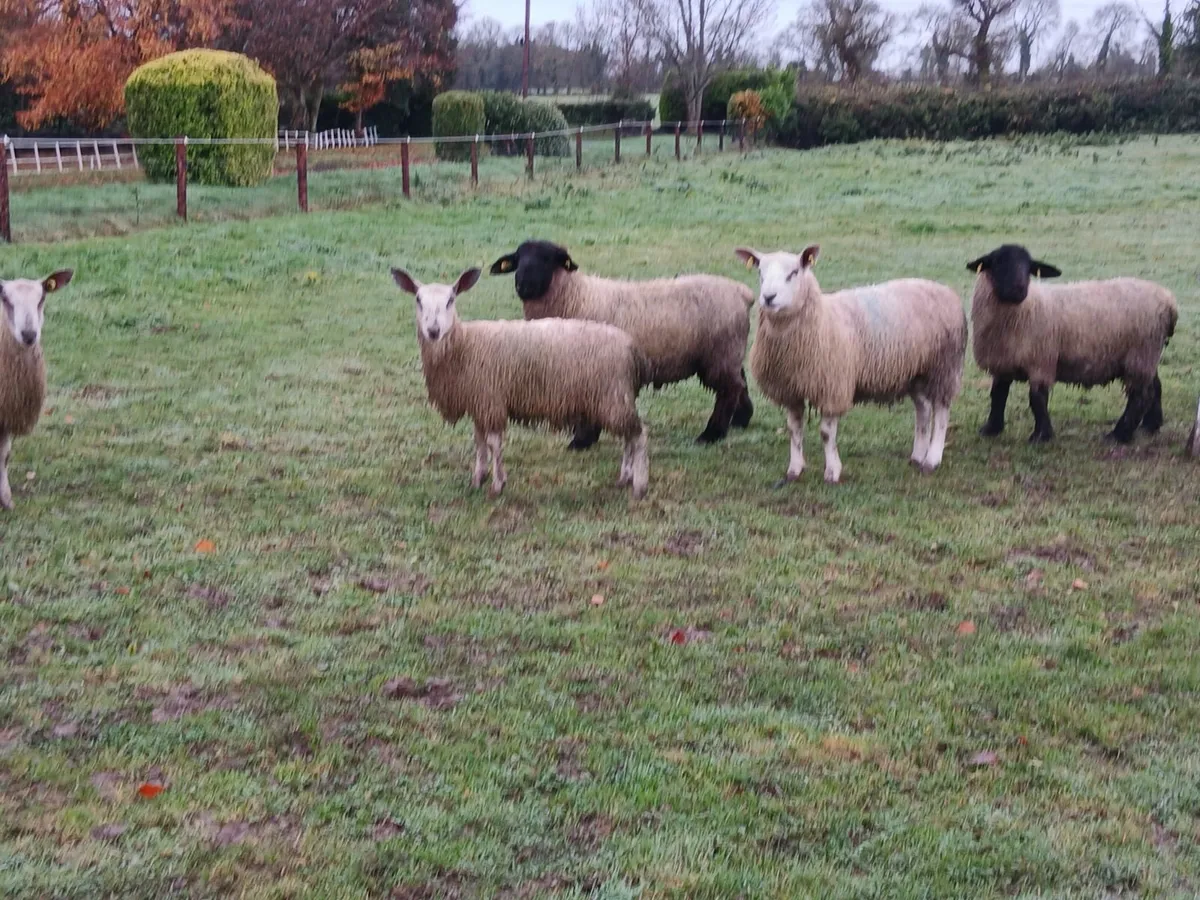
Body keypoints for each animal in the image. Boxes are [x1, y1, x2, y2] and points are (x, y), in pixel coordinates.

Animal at [0, 270, 73, 511]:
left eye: (41, 298)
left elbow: (4, 455)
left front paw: (6, 499)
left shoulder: (8, 410)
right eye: (6, 299)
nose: (29, 335)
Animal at [392, 265, 650, 499]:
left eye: (450, 300)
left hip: (613, 396)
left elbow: (494, 444)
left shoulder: (491, 401)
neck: (464, 345)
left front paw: (497, 485)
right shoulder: (479, 402)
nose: (433, 331)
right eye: (418, 299)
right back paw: (625, 477)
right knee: (629, 438)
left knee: (638, 435)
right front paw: (478, 478)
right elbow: (479, 443)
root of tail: (630, 346)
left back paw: (639, 485)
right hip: (616, 397)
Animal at [488, 240, 754, 449]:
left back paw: (712, 434)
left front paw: (582, 440)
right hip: (728, 351)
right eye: (518, 259)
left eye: (548, 259)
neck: (575, 296)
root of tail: (742, 292)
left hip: (719, 352)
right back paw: (741, 420)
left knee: (729, 389)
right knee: (739, 380)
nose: (523, 284)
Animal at [734, 245, 966, 484]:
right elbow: (794, 430)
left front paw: (832, 472)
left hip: (944, 366)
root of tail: (946, 291)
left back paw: (932, 460)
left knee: (941, 412)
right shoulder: (791, 389)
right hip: (915, 372)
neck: (820, 320)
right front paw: (794, 470)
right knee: (923, 410)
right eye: (760, 273)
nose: (768, 297)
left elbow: (826, 433)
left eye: (794, 273)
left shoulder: (832, 387)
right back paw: (917, 456)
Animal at [967, 244, 1178, 444]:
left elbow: (1037, 398)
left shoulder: (1041, 360)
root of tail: (1169, 301)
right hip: (1146, 355)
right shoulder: (1003, 362)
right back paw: (1150, 425)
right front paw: (991, 429)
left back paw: (1119, 435)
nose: (1019, 288)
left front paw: (1041, 435)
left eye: (1029, 267)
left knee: (1140, 396)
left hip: (1140, 352)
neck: (1024, 309)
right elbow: (998, 394)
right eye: (998, 262)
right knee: (1155, 386)